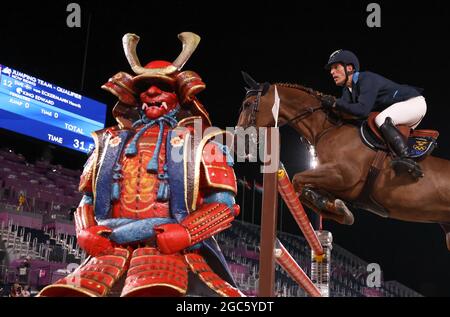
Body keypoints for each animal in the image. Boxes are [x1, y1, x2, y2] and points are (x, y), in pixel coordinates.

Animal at [234, 71, 450, 249]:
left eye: (247, 105)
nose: (236, 143)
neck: (326, 129)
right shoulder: (335, 183)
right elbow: (306, 192)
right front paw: (335, 208)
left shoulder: (342, 175)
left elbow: (297, 180)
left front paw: (333, 207)